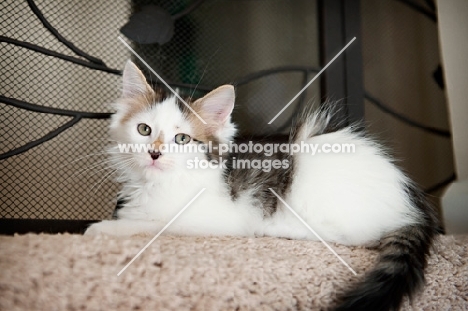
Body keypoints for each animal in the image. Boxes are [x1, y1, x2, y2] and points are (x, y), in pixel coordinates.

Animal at [86, 61, 440, 311]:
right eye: (144, 130)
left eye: (182, 138)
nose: (155, 153)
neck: (160, 183)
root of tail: (412, 200)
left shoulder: (215, 218)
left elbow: (156, 224)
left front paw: (103, 228)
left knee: (353, 235)